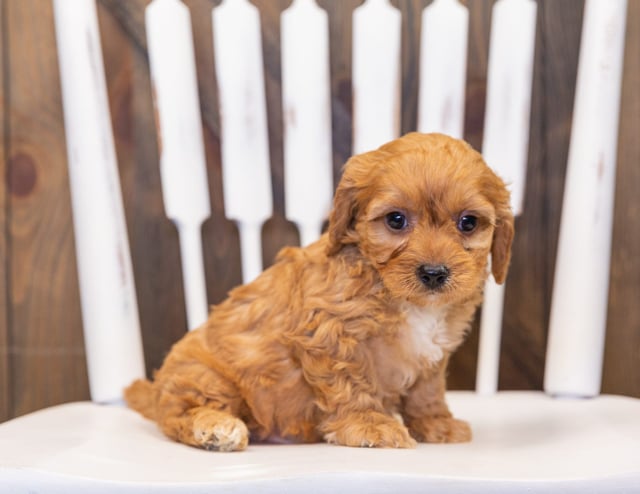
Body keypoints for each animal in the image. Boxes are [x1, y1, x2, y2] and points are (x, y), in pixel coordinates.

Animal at [125, 131, 516, 452]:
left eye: (468, 223)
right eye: (396, 220)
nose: (434, 273)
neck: (395, 292)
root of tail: (155, 391)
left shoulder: (434, 352)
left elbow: (427, 390)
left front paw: (435, 424)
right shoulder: (328, 334)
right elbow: (351, 384)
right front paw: (370, 426)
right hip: (204, 376)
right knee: (179, 414)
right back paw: (216, 429)